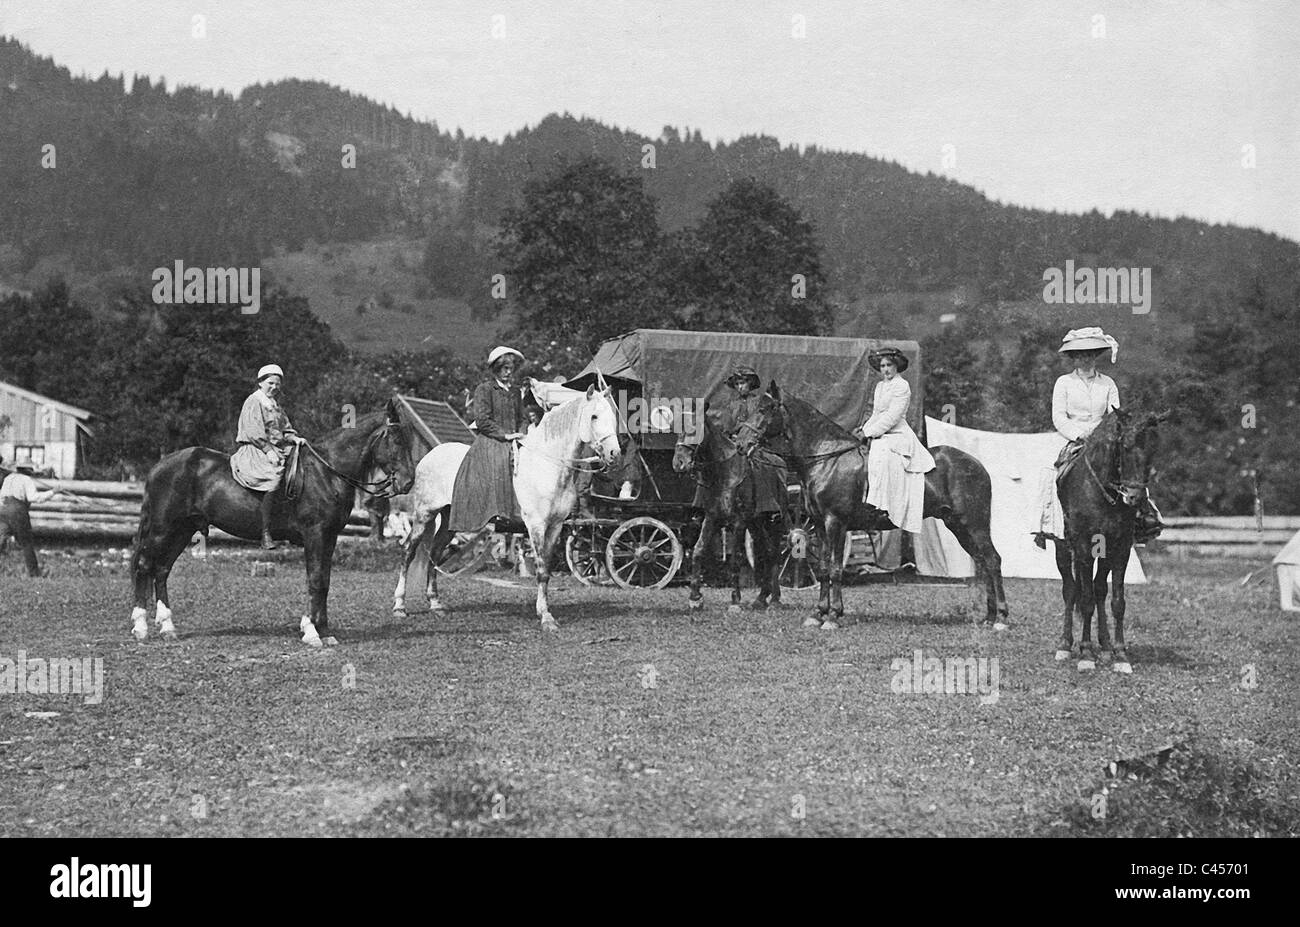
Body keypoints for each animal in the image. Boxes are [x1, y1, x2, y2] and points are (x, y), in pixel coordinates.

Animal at [129, 397, 413, 644]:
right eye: (397, 439)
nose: (408, 482)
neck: (327, 471)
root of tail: (159, 466)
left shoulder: (329, 537)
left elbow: (324, 582)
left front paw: (324, 630)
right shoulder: (315, 534)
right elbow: (315, 579)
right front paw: (312, 632)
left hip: (182, 531)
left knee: (162, 570)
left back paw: (167, 627)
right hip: (162, 529)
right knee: (144, 566)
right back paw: (141, 627)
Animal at [390, 382, 618, 629]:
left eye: (612, 415)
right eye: (594, 416)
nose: (614, 453)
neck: (548, 465)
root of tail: (429, 456)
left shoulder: (555, 526)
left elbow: (546, 568)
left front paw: (544, 611)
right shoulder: (536, 526)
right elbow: (541, 570)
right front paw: (546, 618)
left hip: (450, 521)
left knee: (434, 552)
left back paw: (435, 604)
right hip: (424, 514)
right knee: (408, 552)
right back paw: (400, 606)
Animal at [676, 405, 785, 611]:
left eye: (696, 429)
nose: (679, 463)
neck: (724, 473)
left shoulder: (738, 523)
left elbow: (735, 559)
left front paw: (735, 599)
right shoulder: (711, 519)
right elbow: (698, 550)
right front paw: (695, 597)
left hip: (773, 522)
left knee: (773, 550)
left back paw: (774, 599)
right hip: (756, 523)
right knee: (767, 551)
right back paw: (762, 597)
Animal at [743, 382, 1003, 629]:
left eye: (765, 409)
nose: (740, 441)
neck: (827, 459)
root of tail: (977, 464)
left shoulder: (835, 523)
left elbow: (835, 568)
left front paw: (834, 615)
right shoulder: (818, 524)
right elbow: (824, 568)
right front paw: (818, 614)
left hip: (974, 525)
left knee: (992, 560)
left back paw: (1001, 618)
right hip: (958, 526)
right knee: (983, 562)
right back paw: (989, 617)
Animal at [1055, 405, 1170, 670]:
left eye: (1153, 450)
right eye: (1125, 446)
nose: (1135, 497)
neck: (1101, 492)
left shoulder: (1120, 549)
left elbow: (1117, 602)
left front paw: (1119, 655)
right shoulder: (1084, 548)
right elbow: (1085, 600)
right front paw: (1086, 654)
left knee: (1099, 589)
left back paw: (1106, 647)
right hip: (1063, 548)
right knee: (1071, 590)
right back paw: (1065, 645)